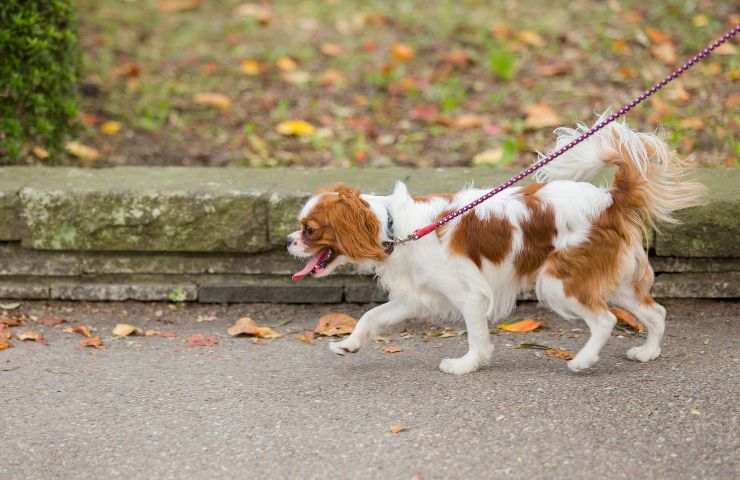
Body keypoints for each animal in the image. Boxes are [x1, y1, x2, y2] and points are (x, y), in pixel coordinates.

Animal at [286, 119, 704, 376]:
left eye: (309, 230)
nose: (288, 240)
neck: (396, 227)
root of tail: (608, 200)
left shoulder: (469, 294)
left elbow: (476, 335)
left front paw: (467, 364)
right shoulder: (413, 297)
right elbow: (371, 317)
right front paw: (349, 345)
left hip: (558, 282)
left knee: (605, 320)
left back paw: (582, 361)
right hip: (610, 280)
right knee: (655, 312)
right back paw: (648, 352)